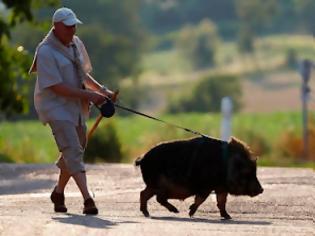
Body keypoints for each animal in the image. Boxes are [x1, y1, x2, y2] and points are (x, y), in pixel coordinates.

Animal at [136, 136, 264, 220]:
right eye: (247, 172)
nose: (261, 189)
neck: (227, 164)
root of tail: (142, 158)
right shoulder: (206, 187)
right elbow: (201, 199)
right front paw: (190, 213)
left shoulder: (221, 187)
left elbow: (222, 202)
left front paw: (228, 217)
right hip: (157, 184)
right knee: (156, 197)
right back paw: (175, 211)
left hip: (153, 186)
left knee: (144, 194)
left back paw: (148, 214)